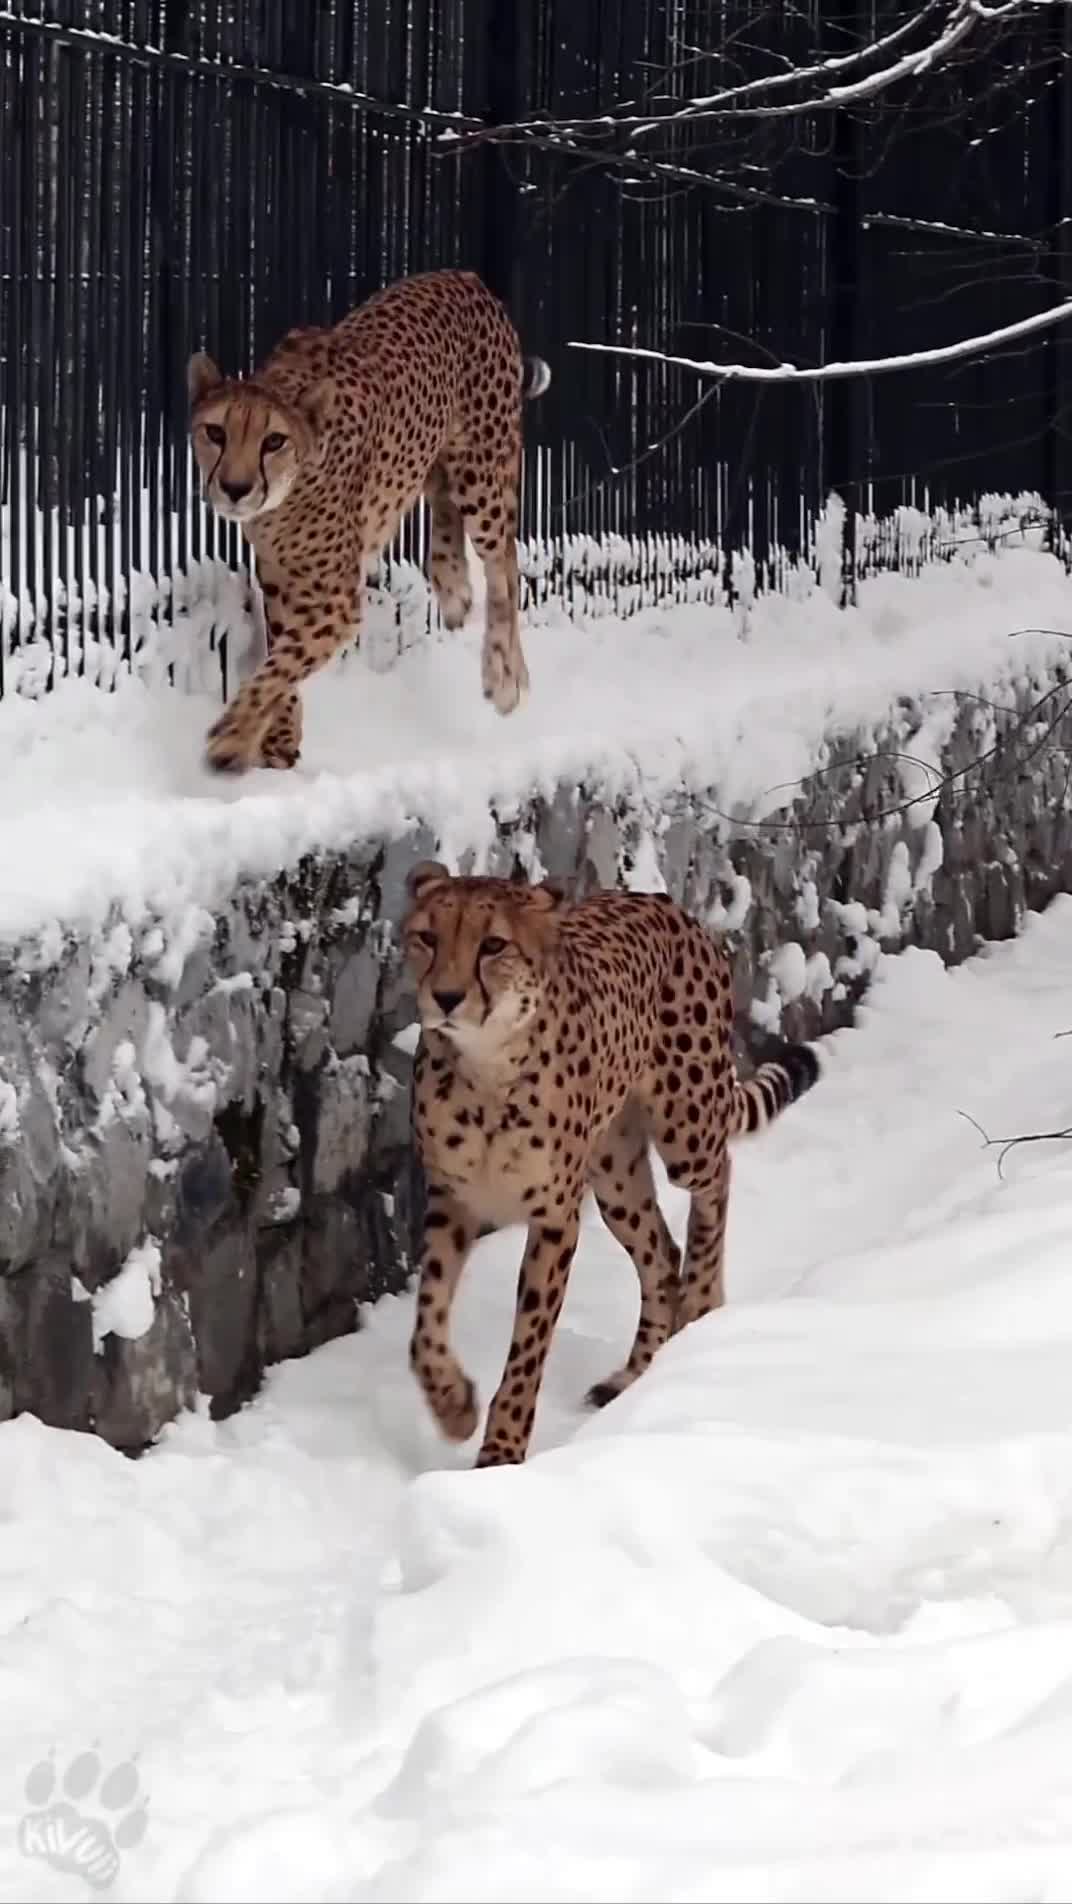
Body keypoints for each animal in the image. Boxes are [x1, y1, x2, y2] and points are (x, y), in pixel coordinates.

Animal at [187, 268, 548, 773]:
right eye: (215, 432)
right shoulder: (282, 582)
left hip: (484, 467)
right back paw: (453, 586)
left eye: (274, 441)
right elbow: (280, 657)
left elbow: (280, 665)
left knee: (505, 564)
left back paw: (504, 675)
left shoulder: (336, 601)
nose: (235, 488)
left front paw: (234, 736)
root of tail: (463, 275)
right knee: (443, 501)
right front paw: (278, 739)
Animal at [403, 868, 822, 1469]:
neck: (487, 1072)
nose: (446, 996)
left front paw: (501, 1451)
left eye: (493, 945)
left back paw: (703, 1300)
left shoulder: (554, 1217)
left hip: (685, 1127)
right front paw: (454, 1406)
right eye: (427, 938)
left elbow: (528, 1347)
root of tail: (663, 902)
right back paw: (638, 1374)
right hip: (614, 1174)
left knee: (717, 1175)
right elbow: (426, 1328)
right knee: (660, 1254)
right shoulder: (451, 1200)